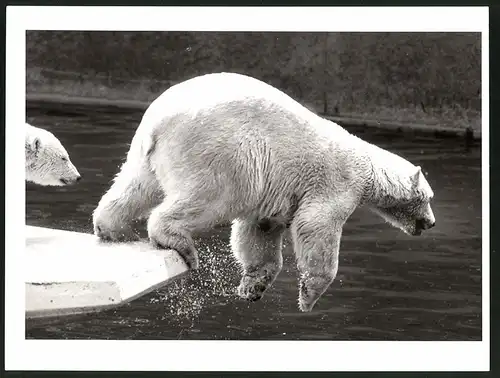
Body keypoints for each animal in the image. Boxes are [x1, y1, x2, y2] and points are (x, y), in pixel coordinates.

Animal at [92, 72, 436, 312]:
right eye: (427, 198)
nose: (431, 223)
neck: (367, 165)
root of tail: (160, 123)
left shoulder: (276, 195)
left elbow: (260, 230)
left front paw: (252, 287)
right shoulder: (336, 183)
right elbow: (315, 226)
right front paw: (308, 298)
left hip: (145, 153)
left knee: (135, 186)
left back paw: (110, 228)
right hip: (223, 154)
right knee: (208, 200)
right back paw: (177, 241)